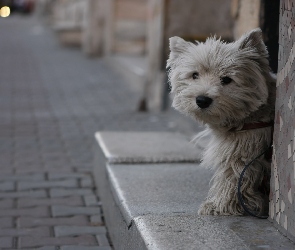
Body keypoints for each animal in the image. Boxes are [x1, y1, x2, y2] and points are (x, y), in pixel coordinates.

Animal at [168, 28, 276, 216]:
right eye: (194, 75)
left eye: (226, 79)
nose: (202, 100)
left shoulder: (240, 151)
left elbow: (232, 178)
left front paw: (218, 205)